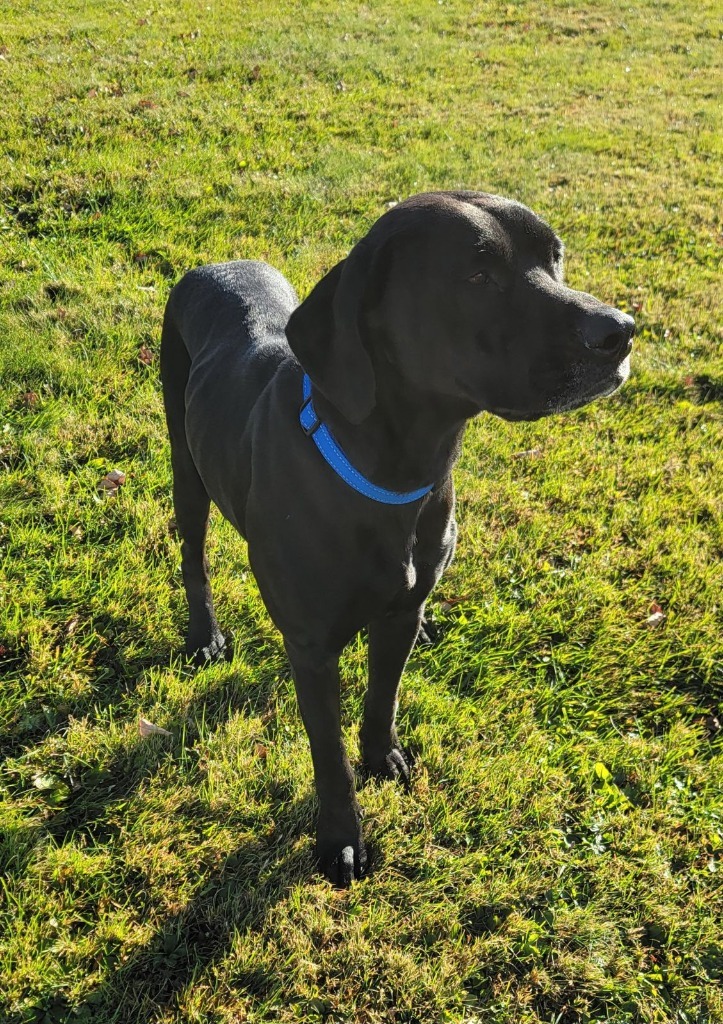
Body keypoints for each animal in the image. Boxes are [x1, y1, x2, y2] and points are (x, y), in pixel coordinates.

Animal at [158, 192, 630, 888]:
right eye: (476, 277)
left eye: (555, 256)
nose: (621, 330)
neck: (394, 471)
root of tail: (212, 266)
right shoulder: (311, 647)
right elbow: (328, 754)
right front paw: (341, 840)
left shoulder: (398, 613)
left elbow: (384, 694)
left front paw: (383, 758)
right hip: (186, 469)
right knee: (193, 556)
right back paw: (205, 635)